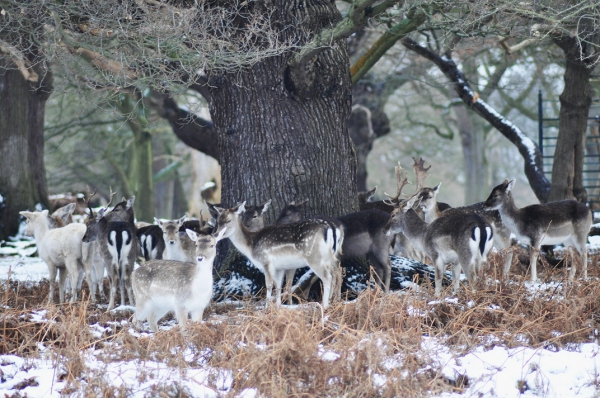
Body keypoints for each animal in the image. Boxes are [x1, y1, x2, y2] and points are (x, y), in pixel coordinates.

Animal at [214, 202, 342, 308]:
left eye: (228, 221)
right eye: (218, 221)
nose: (216, 234)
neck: (251, 245)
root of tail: (331, 227)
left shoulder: (266, 261)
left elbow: (269, 285)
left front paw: (267, 307)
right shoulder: (279, 267)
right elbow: (279, 286)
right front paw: (279, 306)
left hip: (314, 257)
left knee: (327, 277)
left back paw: (325, 305)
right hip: (331, 256)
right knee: (336, 272)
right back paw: (333, 300)